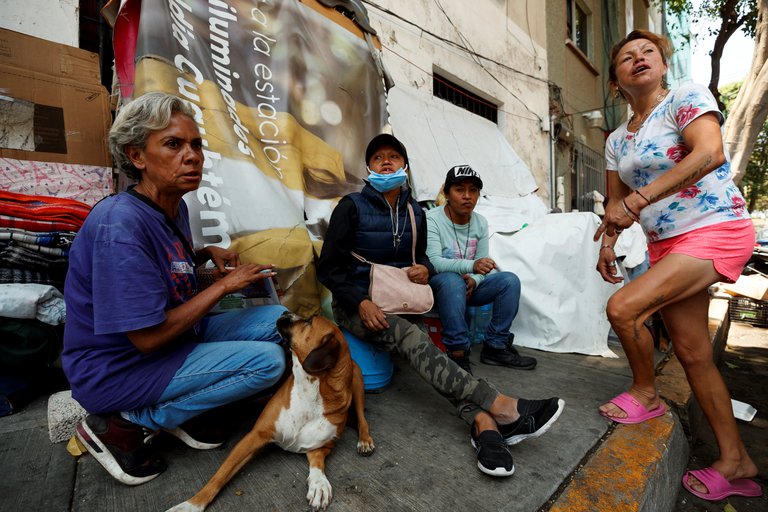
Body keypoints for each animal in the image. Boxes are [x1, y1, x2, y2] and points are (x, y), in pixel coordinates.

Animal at [166, 312, 376, 512]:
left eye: (309, 321)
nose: (285, 312)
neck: (310, 392)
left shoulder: (320, 446)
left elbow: (318, 465)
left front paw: (318, 484)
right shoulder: (254, 437)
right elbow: (220, 474)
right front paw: (192, 504)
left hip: (357, 382)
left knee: (362, 419)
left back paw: (365, 440)